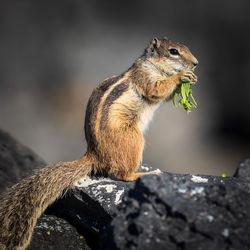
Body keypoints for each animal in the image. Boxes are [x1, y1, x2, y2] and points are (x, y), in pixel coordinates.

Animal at [0, 37, 199, 250]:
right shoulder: (144, 78)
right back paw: (145, 174)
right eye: (173, 51)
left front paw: (191, 79)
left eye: (186, 48)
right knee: (123, 175)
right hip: (133, 139)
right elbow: (156, 89)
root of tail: (95, 155)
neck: (153, 65)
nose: (196, 63)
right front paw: (181, 76)